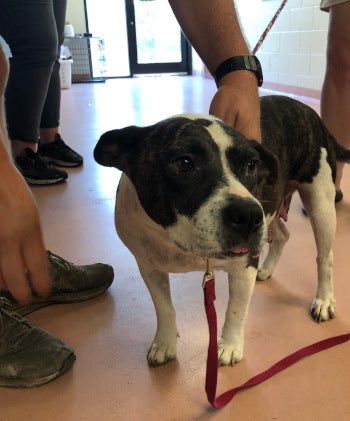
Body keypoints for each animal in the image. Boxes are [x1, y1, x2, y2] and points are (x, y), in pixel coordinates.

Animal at [93, 97, 350, 366]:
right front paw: (165, 342)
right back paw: (267, 268)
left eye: (251, 164)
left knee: (325, 257)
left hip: (319, 204)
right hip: (271, 207)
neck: (177, 244)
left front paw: (229, 346)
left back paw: (324, 299)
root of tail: (308, 111)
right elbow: (163, 307)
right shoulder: (149, 267)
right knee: (282, 234)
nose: (248, 215)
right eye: (184, 163)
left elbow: (235, 310)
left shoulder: (243, 265)